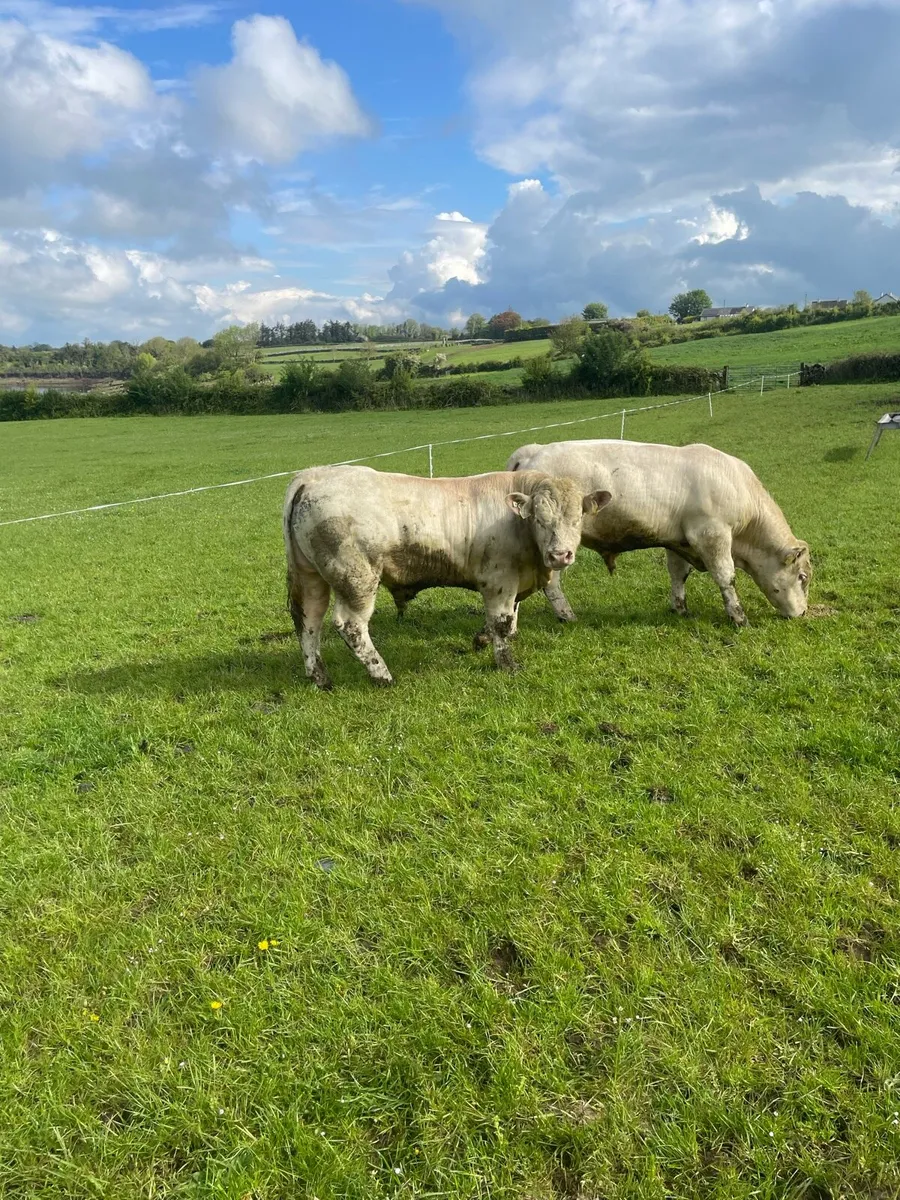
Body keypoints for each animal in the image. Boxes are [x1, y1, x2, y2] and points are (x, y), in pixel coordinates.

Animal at [283, 465, 612, 688]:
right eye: (540, 520)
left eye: (577, 518)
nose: (560, 555)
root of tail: (312, 476)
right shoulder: (499, 580)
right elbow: (503, 623)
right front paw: (507, 664)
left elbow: (504, 619)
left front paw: (482, 639)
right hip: (357, 580)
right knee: (350, 625)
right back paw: (382, 674)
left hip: (311, 576)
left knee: (309, 621)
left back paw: (320, 677)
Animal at [506, 439, 810, 626]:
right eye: (803, 577)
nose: (803, 612)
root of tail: (534, 450)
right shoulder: (712, 535)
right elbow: (726, 576)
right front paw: (738, 617)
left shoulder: (679, 541)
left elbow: (678, 574)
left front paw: (680, 608)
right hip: (557, 546)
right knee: (552, 582)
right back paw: (567, 615)